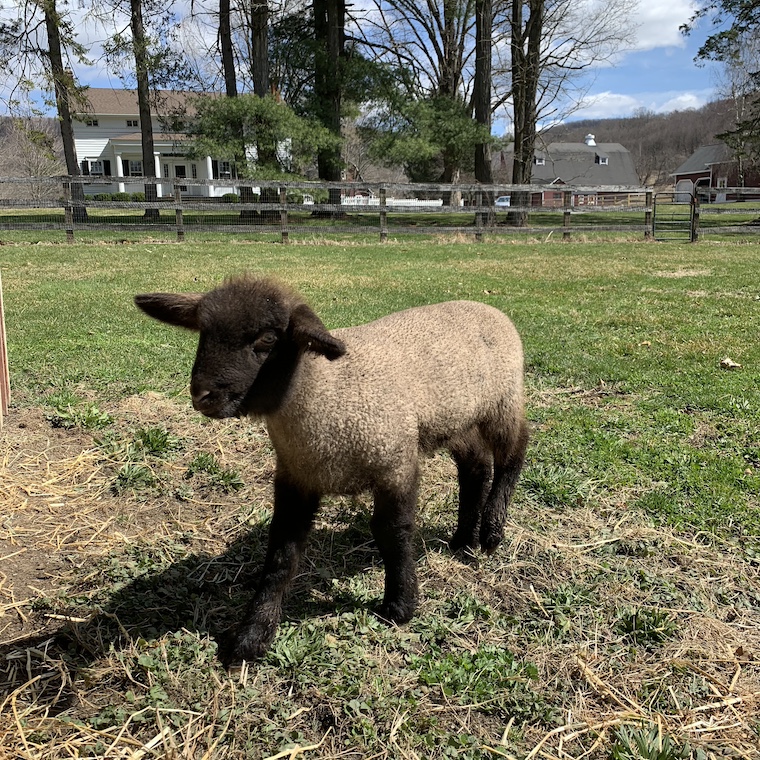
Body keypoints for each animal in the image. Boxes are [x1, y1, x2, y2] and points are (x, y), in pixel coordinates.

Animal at [134, 276, 528, 665]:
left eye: (268, 339)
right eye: (203, 331)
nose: (202, 395)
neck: (324, 387)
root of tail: (486, 307)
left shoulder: (395, 462)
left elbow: (393, 533)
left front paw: (400, 605)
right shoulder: (296, 478)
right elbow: (281, 554)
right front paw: (253, 635)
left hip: (503, 399)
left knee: (514, 452)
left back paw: (492, 530)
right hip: (455, 419)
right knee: (476, 465)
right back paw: (463, 540)